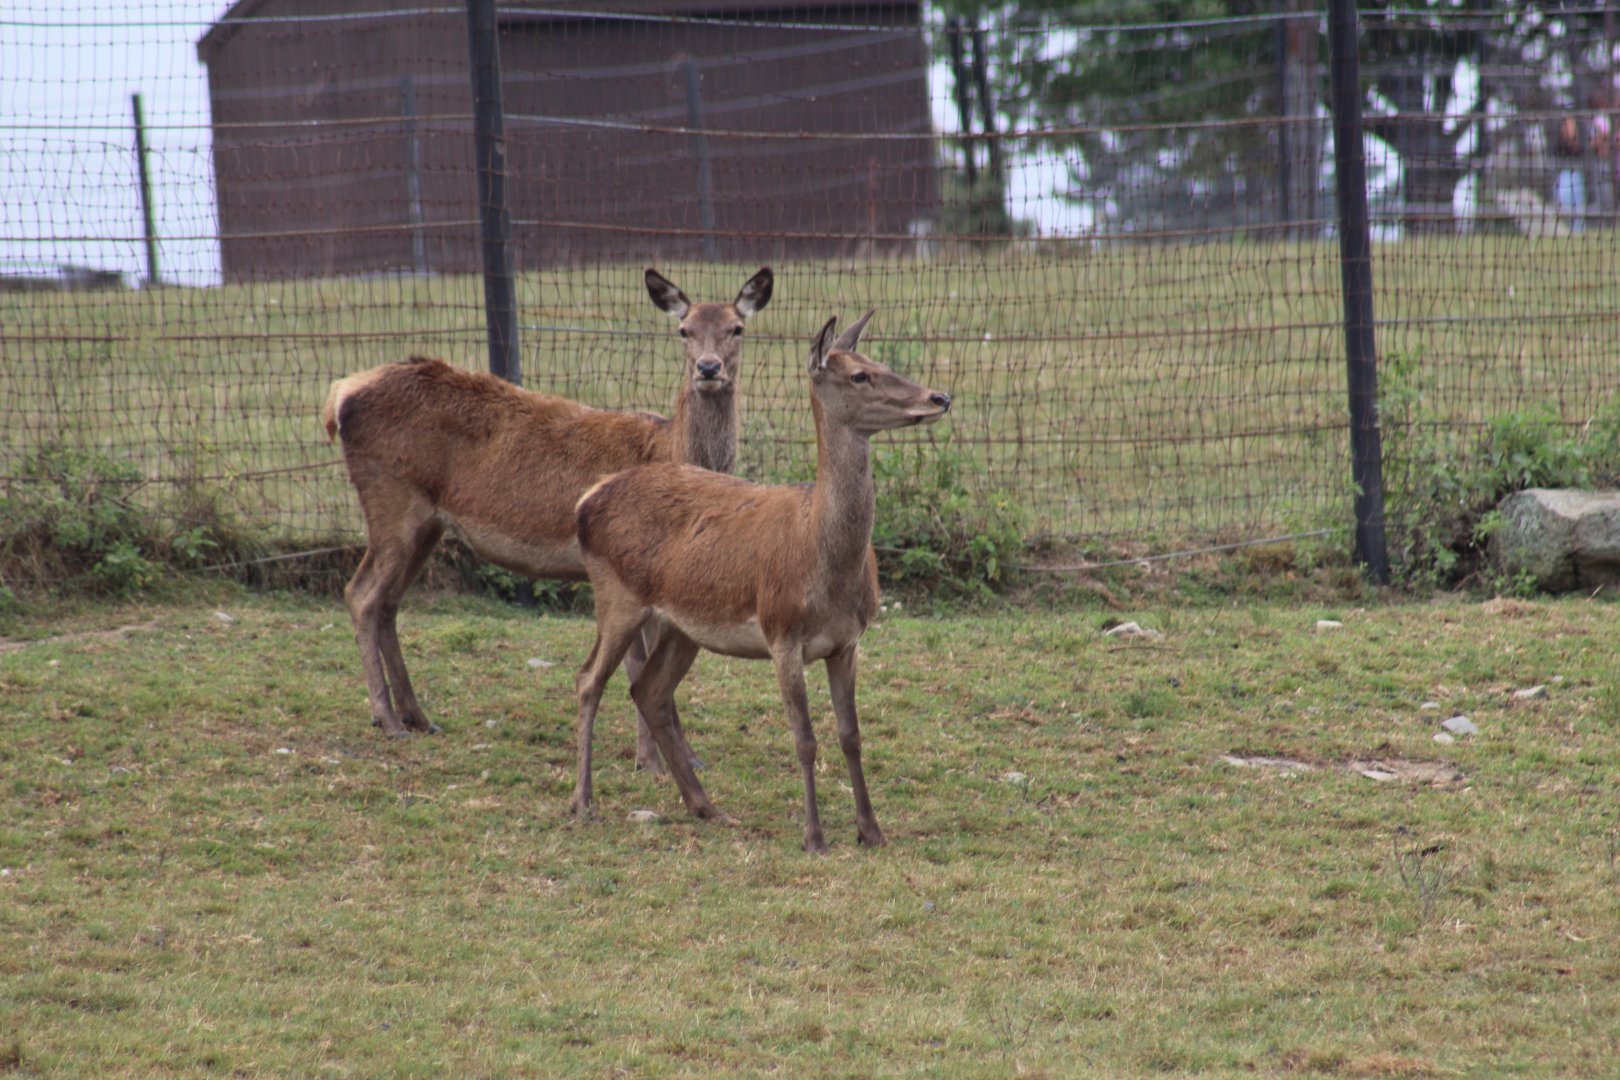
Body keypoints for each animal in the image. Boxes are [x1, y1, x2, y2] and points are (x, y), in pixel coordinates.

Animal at [321, 267, 772, 748]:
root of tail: (340, 394)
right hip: (391, 498)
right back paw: (387, 719)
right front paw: (652, 756)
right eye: (683, 330)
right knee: (362, 595)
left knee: (388, 602)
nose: (708, 368)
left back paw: (418, 717)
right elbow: (639, 668)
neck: (669, 447)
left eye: (737, 328)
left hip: (429, 522)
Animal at [569, 310, 952, 852]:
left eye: (878, 361)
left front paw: (871, 831)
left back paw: (708, 808)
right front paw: (814, 837)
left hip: (683, 627)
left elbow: (851, 735)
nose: (939, 398)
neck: (824, 564)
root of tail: (587, 500)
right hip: (616, 594)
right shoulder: (782, 633)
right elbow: (805, 739)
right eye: (860, 375)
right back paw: (584, 803)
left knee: (649, 691)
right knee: (589, 680)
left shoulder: (848, 642)